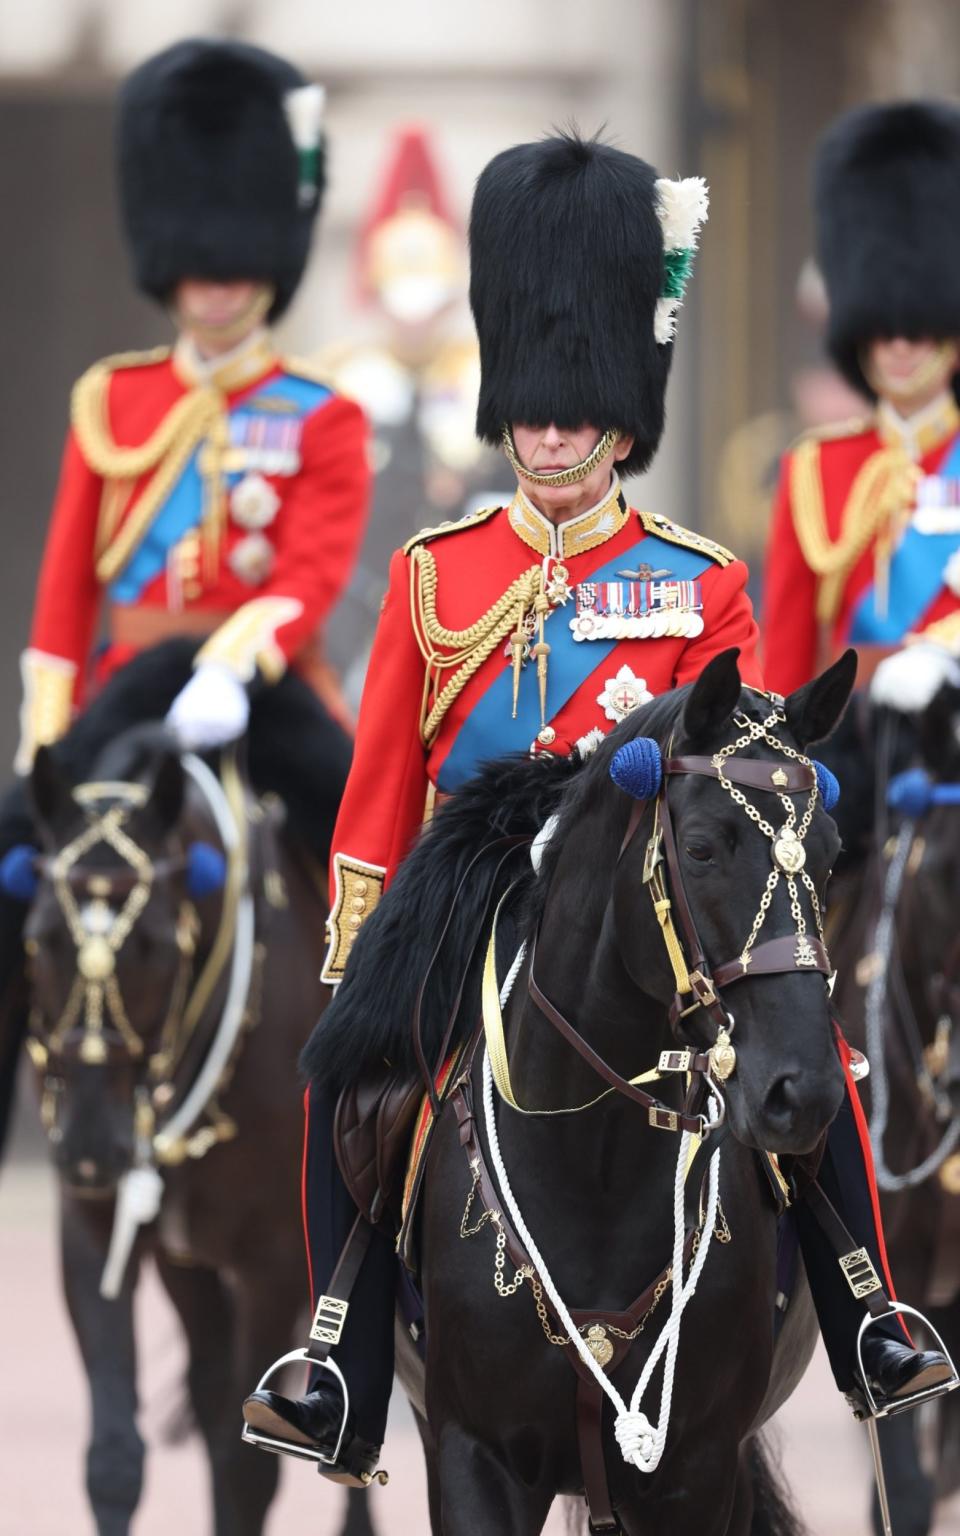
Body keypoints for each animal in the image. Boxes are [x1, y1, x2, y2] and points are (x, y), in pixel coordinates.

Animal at [310, 651, 847, 1536]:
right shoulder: (473, 1459)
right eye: (702, 848)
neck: (592, 1163)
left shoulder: (697, 1470)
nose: (803, 1093)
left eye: (832, 851)